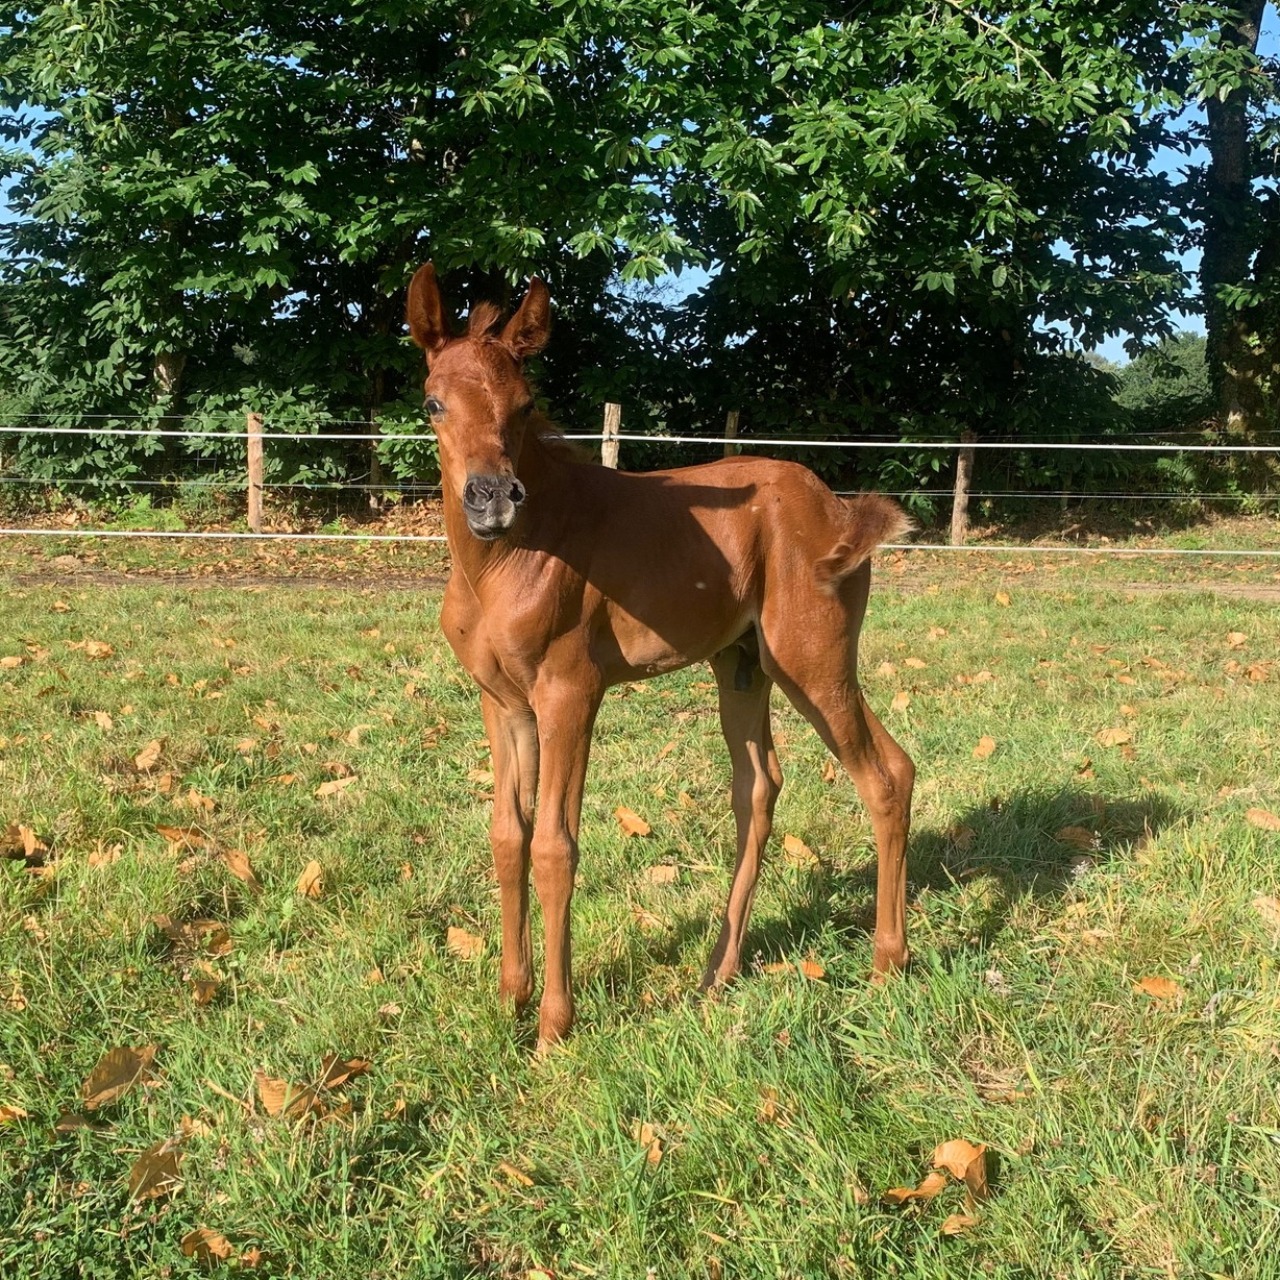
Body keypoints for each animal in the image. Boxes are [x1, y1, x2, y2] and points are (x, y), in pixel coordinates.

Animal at [404, 262, 916, 1049]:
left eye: (524, 405)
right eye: (433, 403)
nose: (492, 499)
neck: (505, 562)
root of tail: (840, 509)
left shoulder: (570, 691)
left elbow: (554, 847)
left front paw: (552, 1027)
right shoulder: (502, 701)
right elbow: (507, 837)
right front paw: (510, 999)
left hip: (814, 661)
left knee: (887, 774)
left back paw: (889, 964)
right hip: (741, 666)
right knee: (758, 788)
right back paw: (719, 971)